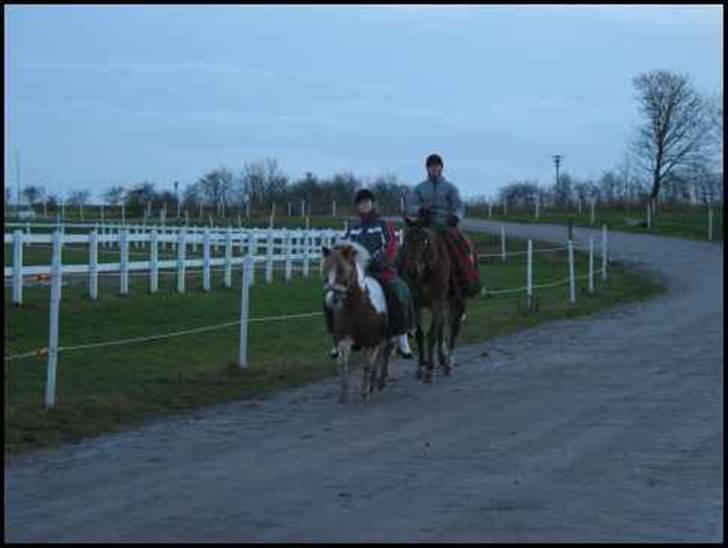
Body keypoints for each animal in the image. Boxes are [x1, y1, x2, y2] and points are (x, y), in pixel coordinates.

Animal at [322, 240, 396, 402]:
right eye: (325, 271)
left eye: (341, 270)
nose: (333, 299)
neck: (357, 308)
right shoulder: (344, 338)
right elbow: (342, 363)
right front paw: (343, 394)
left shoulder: (371, 341)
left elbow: (367, 365)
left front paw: (364, 392)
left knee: (385, 353)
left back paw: (380, 381)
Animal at [398, 216, 466, 384]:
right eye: (406, 239)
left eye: (425, 240)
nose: (412, 270)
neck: (425, 274)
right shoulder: (416, 304)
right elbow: (420, 334)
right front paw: (421, 368)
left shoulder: (436, 303)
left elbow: (431, 335)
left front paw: (429, 370)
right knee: (442, 326)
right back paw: (440, 359)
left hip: (457, 301)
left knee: (453, 328)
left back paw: (448, 363)